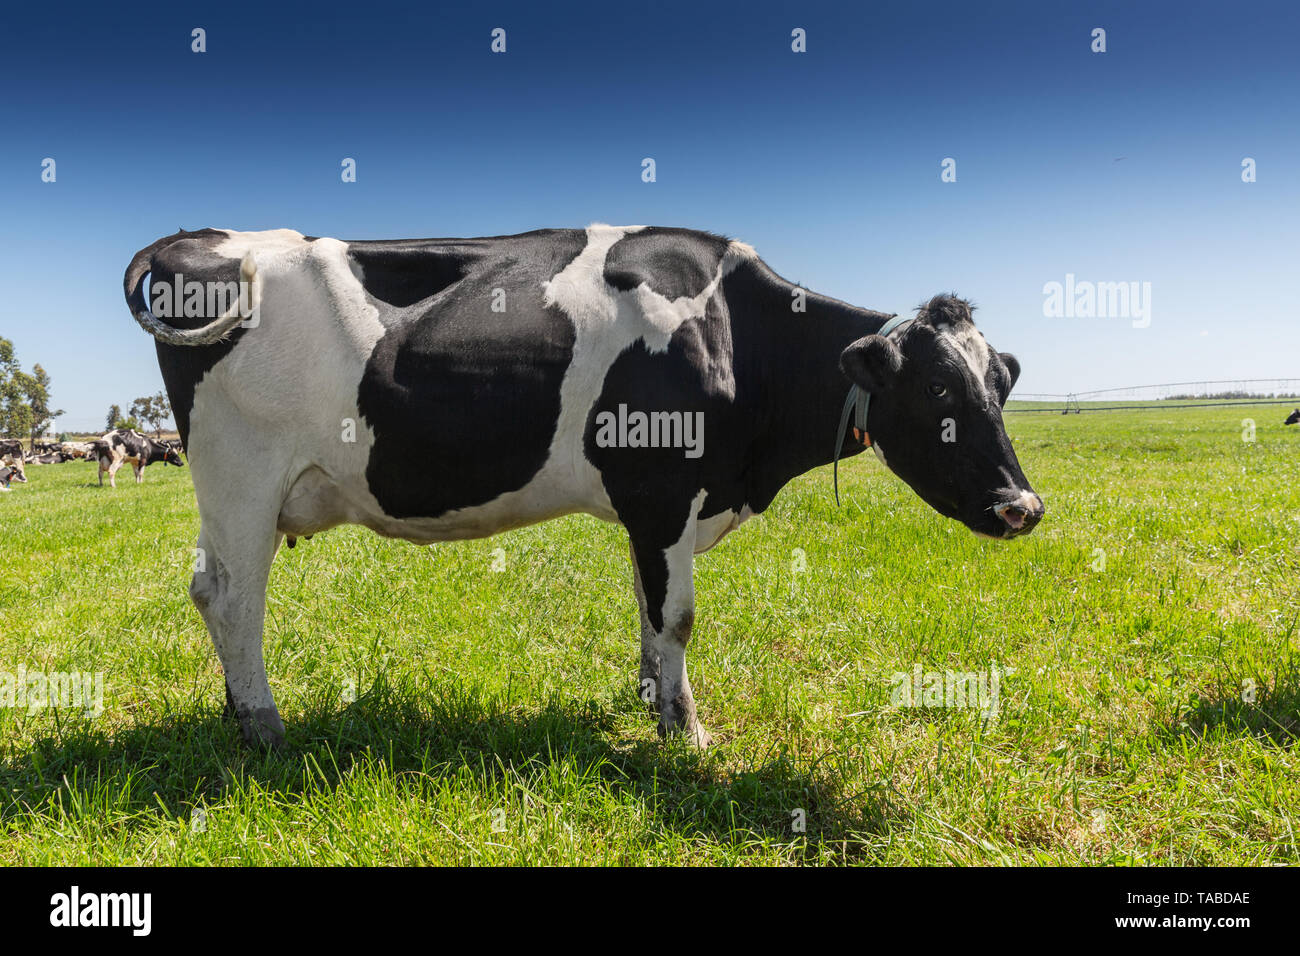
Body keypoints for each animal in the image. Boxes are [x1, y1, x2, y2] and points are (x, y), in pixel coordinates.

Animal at [125, 226, 1043, 749]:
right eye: (938, 390)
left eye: (1001, 382)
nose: (1022, 507)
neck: (734, 335)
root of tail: (205, 236)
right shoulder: (665, 490)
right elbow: (678, 615)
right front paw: (686, 731)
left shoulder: (650, 509)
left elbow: (648, 606)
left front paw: (653, 700)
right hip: (243, 474)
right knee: (234, 599)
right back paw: (264, 726)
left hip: (227, 490)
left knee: (208, 590)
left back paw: (239, 714)